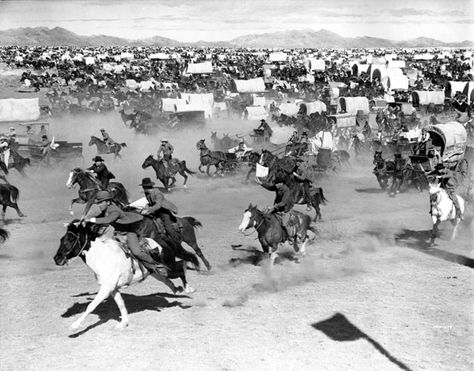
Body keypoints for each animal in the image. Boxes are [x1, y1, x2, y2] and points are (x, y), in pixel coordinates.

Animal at [53, 221, 196, 332]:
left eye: (70, 239)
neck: (102, 257)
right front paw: (123, 323)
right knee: (170, 278)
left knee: (181, 267)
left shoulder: (106, 288)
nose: (57, 259)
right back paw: (177, 289)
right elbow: (121, 304)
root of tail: (163, 241)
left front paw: (74, 326)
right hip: (157, 272)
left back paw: (188, 289)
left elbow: (91, 305)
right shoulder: (113, 289)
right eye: (61, 239)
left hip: (167, 268)